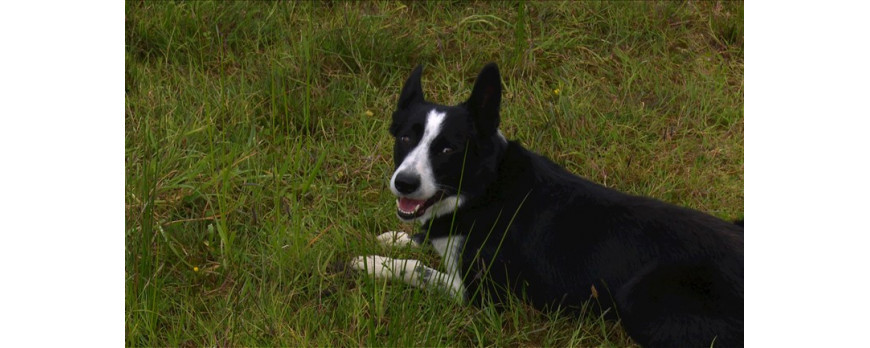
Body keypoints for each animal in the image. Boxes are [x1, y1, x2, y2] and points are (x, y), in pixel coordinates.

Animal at [350, 64, 744, 346]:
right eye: (405, 138)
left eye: (448, 149)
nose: (404, 182)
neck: (484, 189)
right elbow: (419, 242)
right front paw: (394, 239)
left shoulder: (480, 294)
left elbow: (416, 269)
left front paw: (371, 263)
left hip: (639, 299)